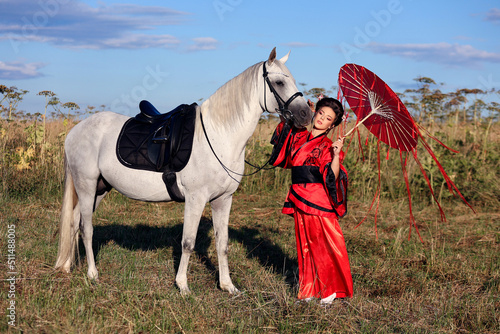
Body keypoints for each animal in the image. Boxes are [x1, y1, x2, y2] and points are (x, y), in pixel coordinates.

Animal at [55, 48, 312, 294]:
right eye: (279, 82)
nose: (306, 115)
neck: (218, 135)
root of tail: (75, 131)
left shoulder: (223, 199)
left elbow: (223, 244)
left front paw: (228, 286)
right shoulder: (195, 198)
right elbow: (187, 242)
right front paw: (183, 286)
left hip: (99, 189)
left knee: (75, 222)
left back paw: (67, 266)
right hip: (87, 186)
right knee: (86, 228)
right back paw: (92, 274)